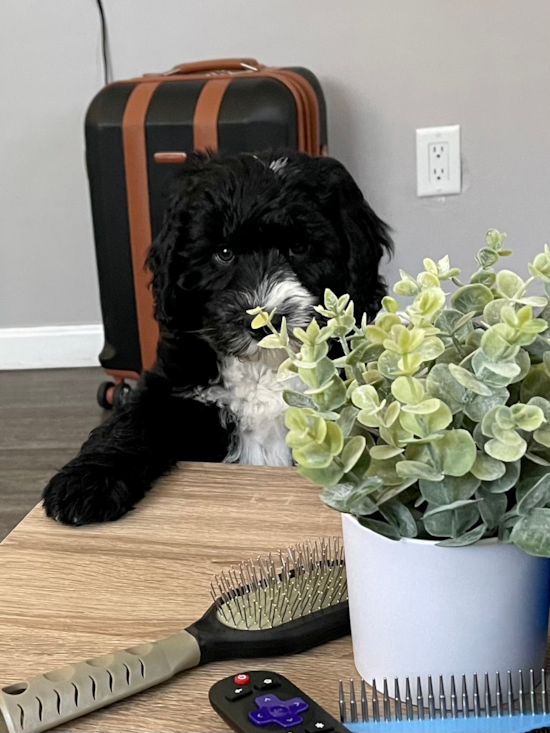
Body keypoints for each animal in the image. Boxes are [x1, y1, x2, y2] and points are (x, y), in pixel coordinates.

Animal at [42, 152, 392, 524]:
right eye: (223, 253)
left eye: (299, 247)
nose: (262, 321)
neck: (264, 370)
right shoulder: (173, 387)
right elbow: (133, 422)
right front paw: (85, 482)